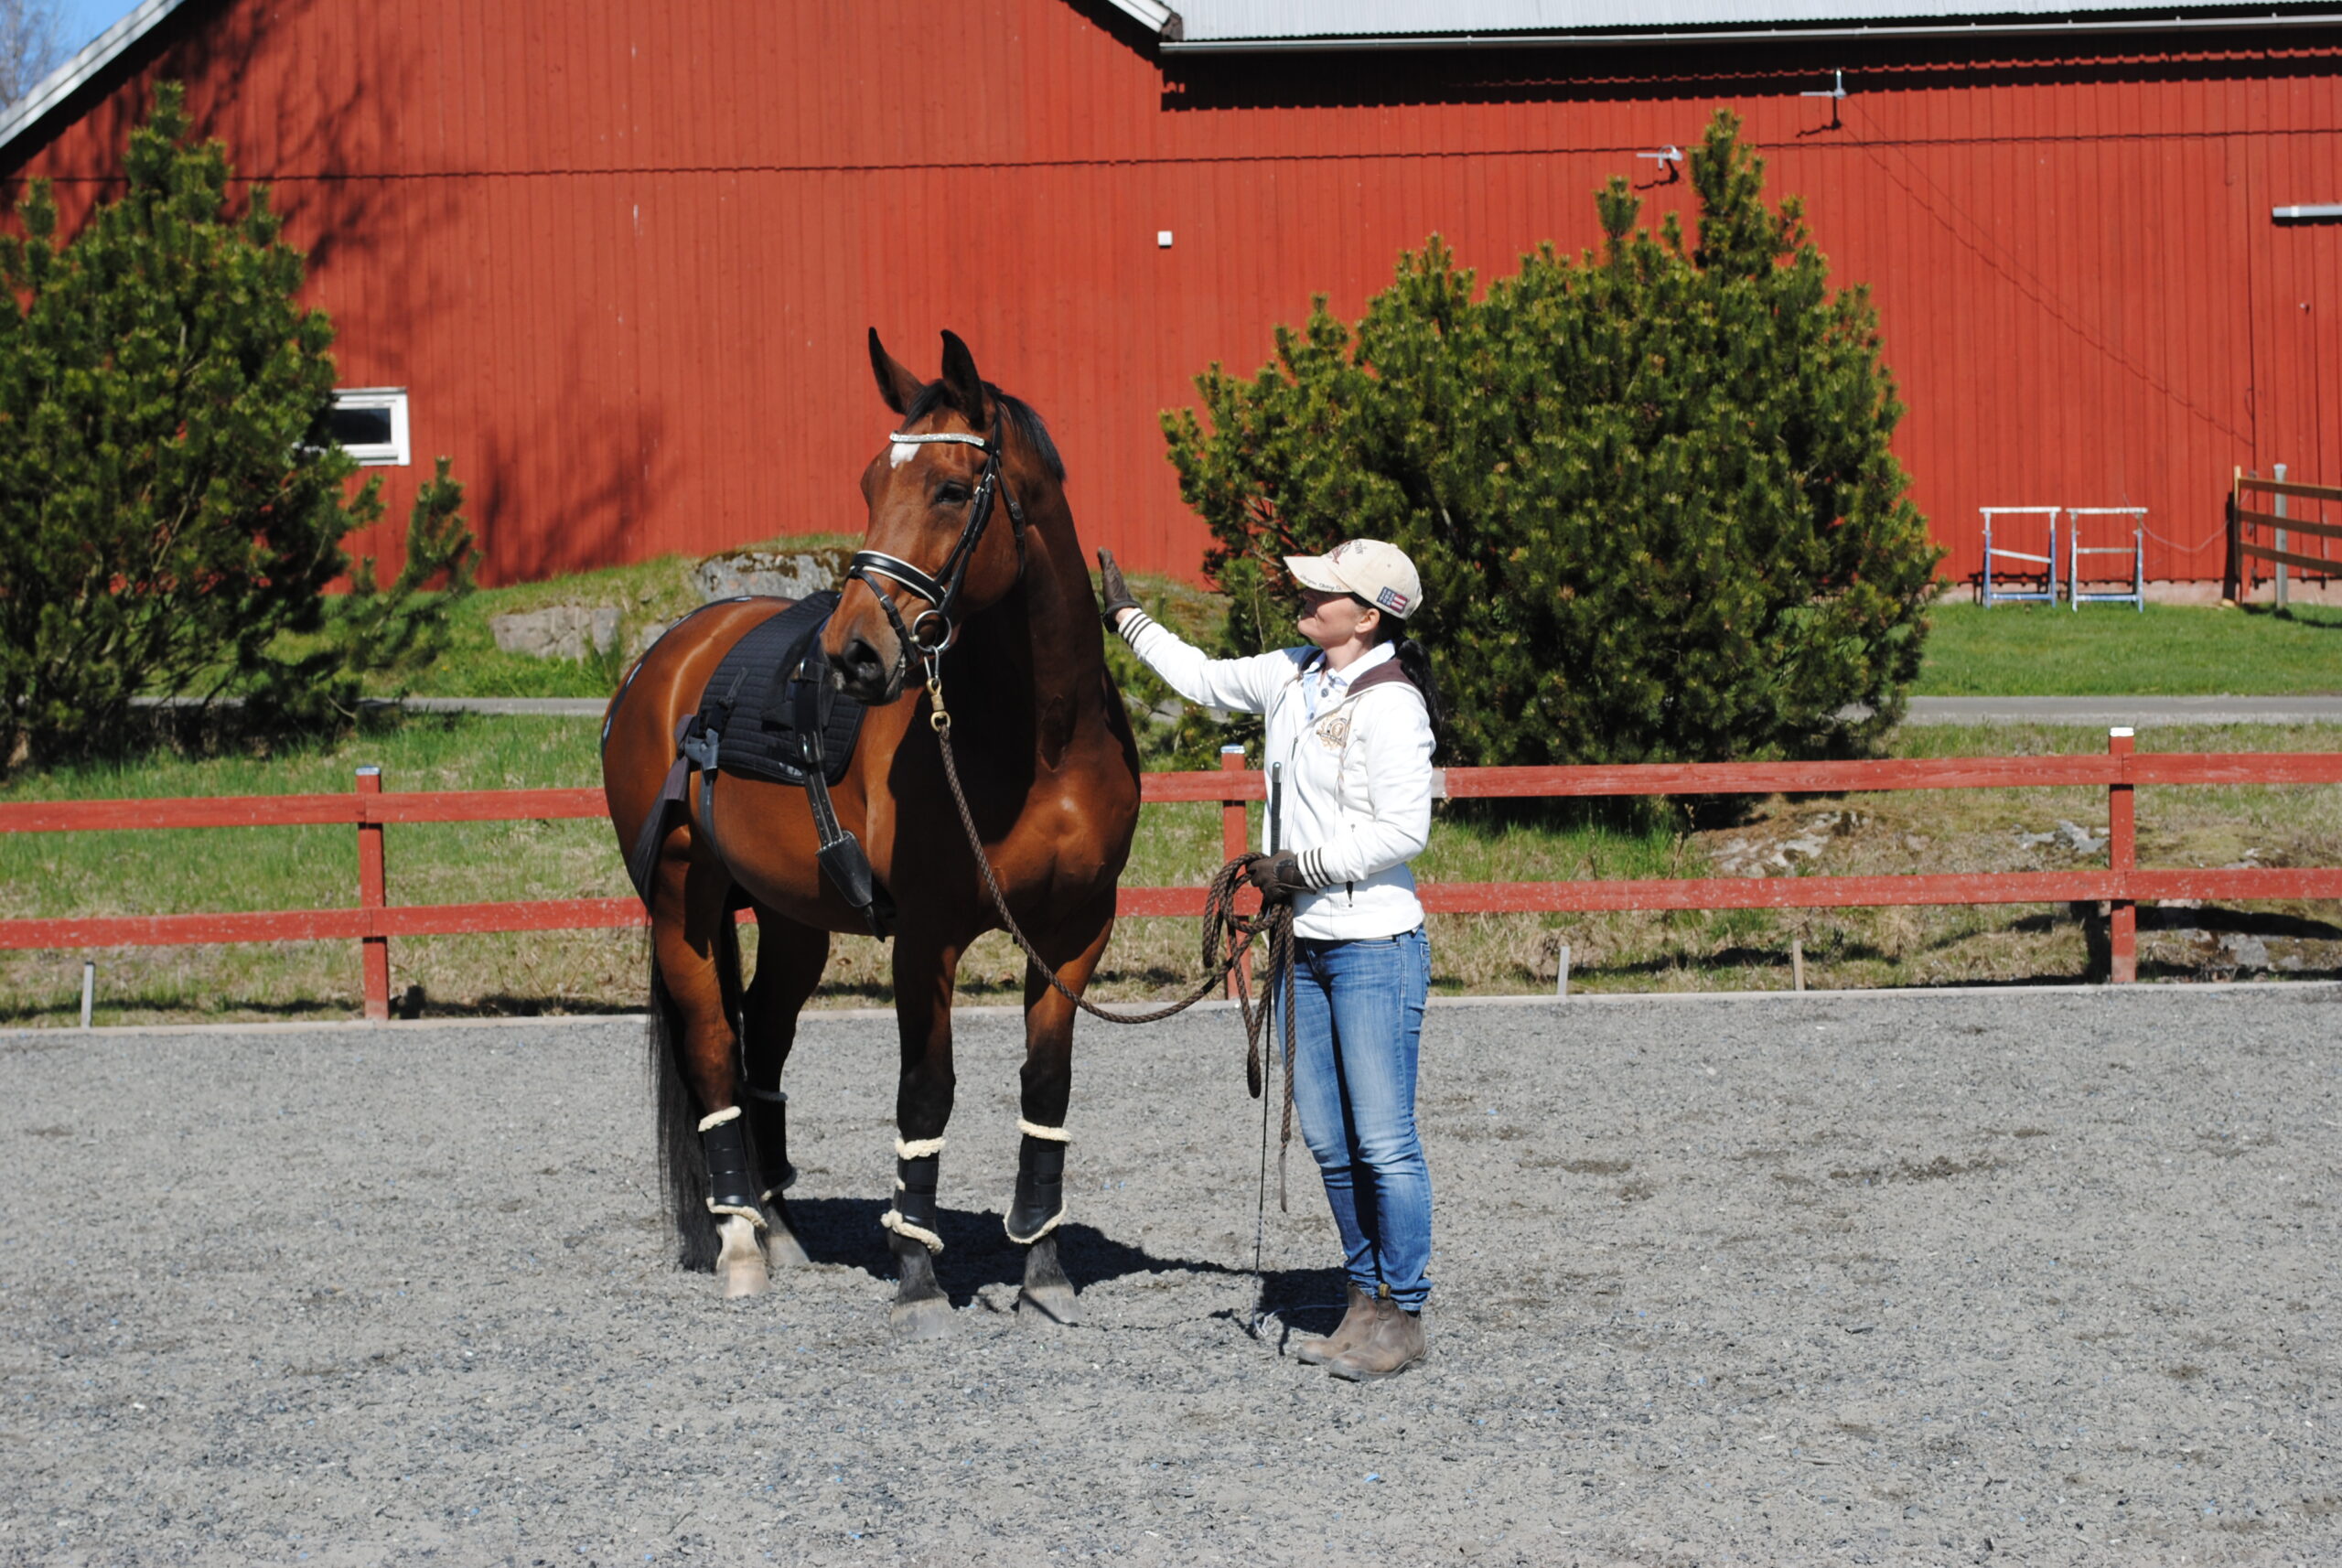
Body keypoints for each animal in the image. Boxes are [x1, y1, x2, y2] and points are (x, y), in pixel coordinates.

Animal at [604, 332, 1143, 1338]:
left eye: (950, 488)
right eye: (867, 483)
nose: (854, 655)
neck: (1039, 741)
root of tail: (665, 663)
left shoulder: (1073, 934)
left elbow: (1044, 1089)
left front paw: (1042, 1269)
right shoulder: (927, 939)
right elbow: (926, 1091)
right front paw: (918, 1273)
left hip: (791, 922)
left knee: (761, 1045)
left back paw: (778, 1227)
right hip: (682, 903)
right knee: (713, 1051)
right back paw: (739, 1244)